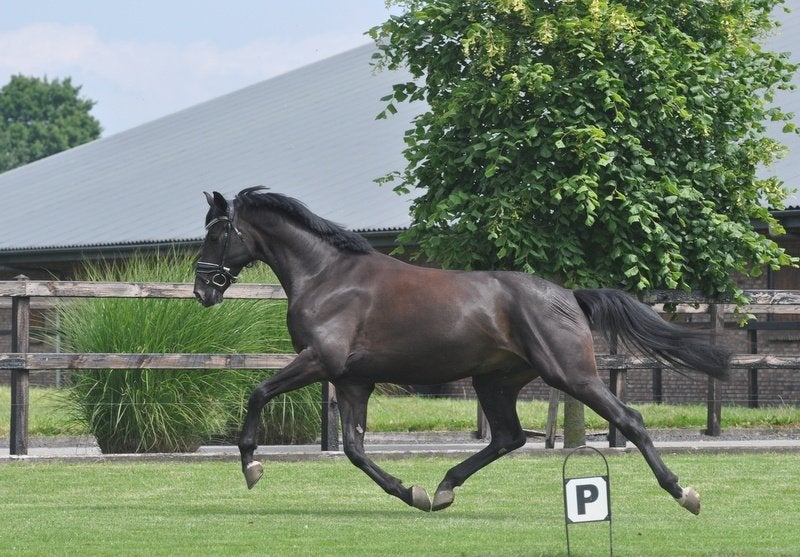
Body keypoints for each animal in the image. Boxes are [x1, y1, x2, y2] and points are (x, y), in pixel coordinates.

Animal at [193, 186, 731, 515]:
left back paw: (684, 492)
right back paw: (444, 488)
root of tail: (568, 295)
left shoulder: (319, 362)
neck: (328, 277)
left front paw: (251, 467)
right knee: (507, 437)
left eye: (217, 232)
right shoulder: (351, 380)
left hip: (570, 374)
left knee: (629, 420)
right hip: (494, 381)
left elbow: (259, 392)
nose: (202, 290)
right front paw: (411, 492)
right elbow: (354, 448)